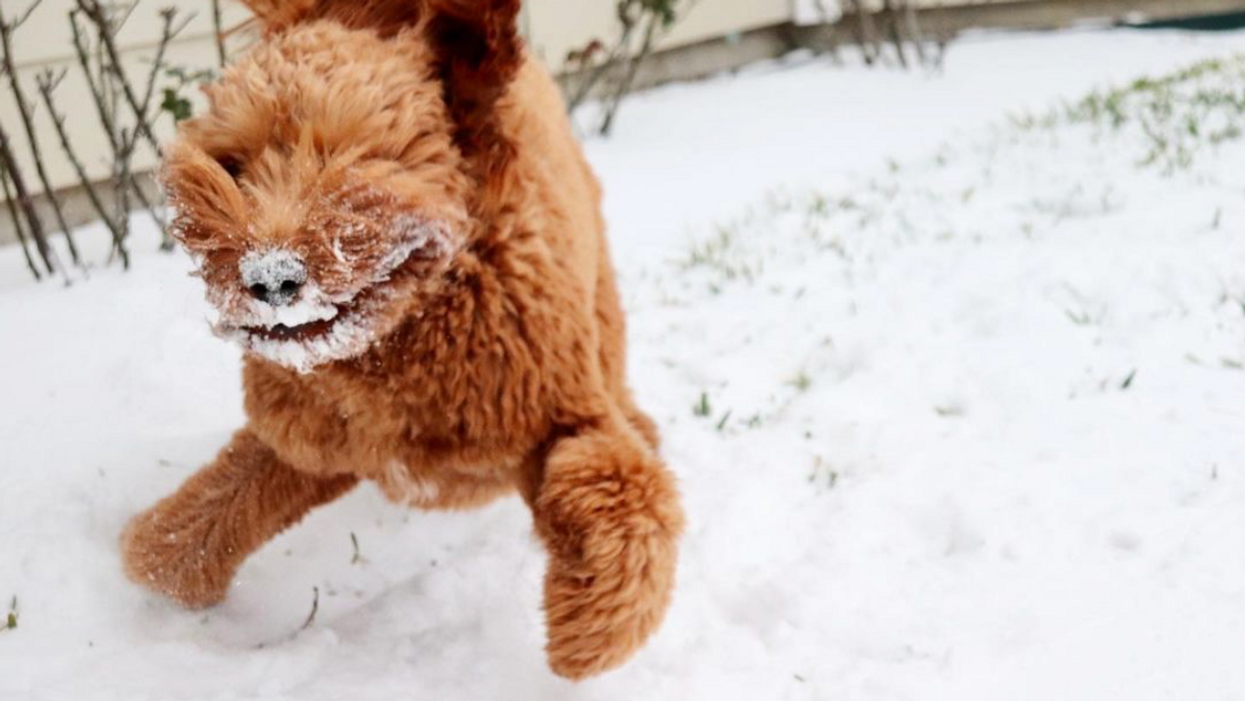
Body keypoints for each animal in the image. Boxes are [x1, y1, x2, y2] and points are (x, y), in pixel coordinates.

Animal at [122, 0, 687, 682]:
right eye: (233, 162)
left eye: (362, 161)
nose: (269, 276)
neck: (406, 333)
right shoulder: (309, 436)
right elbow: (221, 504)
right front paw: (158, 565)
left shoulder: (556, 412)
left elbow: (624, 492)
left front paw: (588, 630)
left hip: (597, 288)